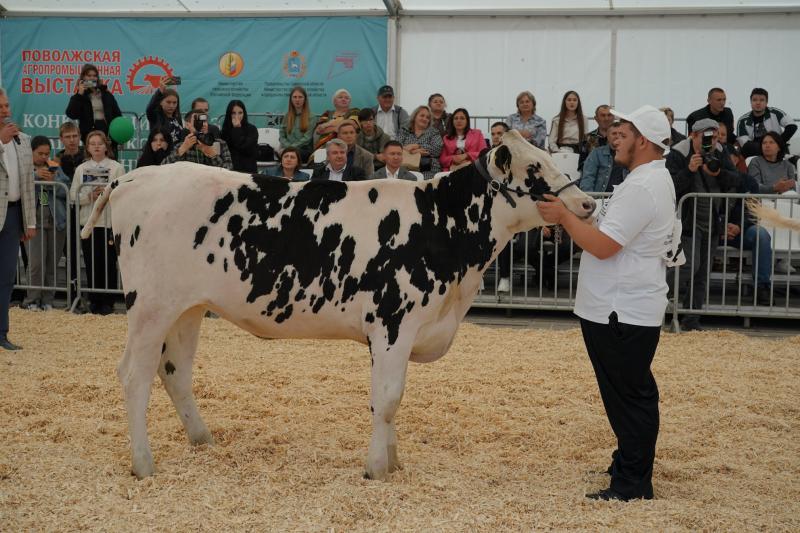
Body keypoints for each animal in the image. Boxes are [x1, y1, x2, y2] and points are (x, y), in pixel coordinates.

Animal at [83, 129, 592, 478]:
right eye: (536, 169)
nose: (587, 204)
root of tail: (133, 176)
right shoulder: (393, 322)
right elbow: (387, 398)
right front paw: (377, 468)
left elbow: (392, 400)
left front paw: (393, 461)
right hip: (149, 306)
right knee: (133, 374)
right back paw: (144, 463)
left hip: (187, 307)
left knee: (174, 371)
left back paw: (202, 439)